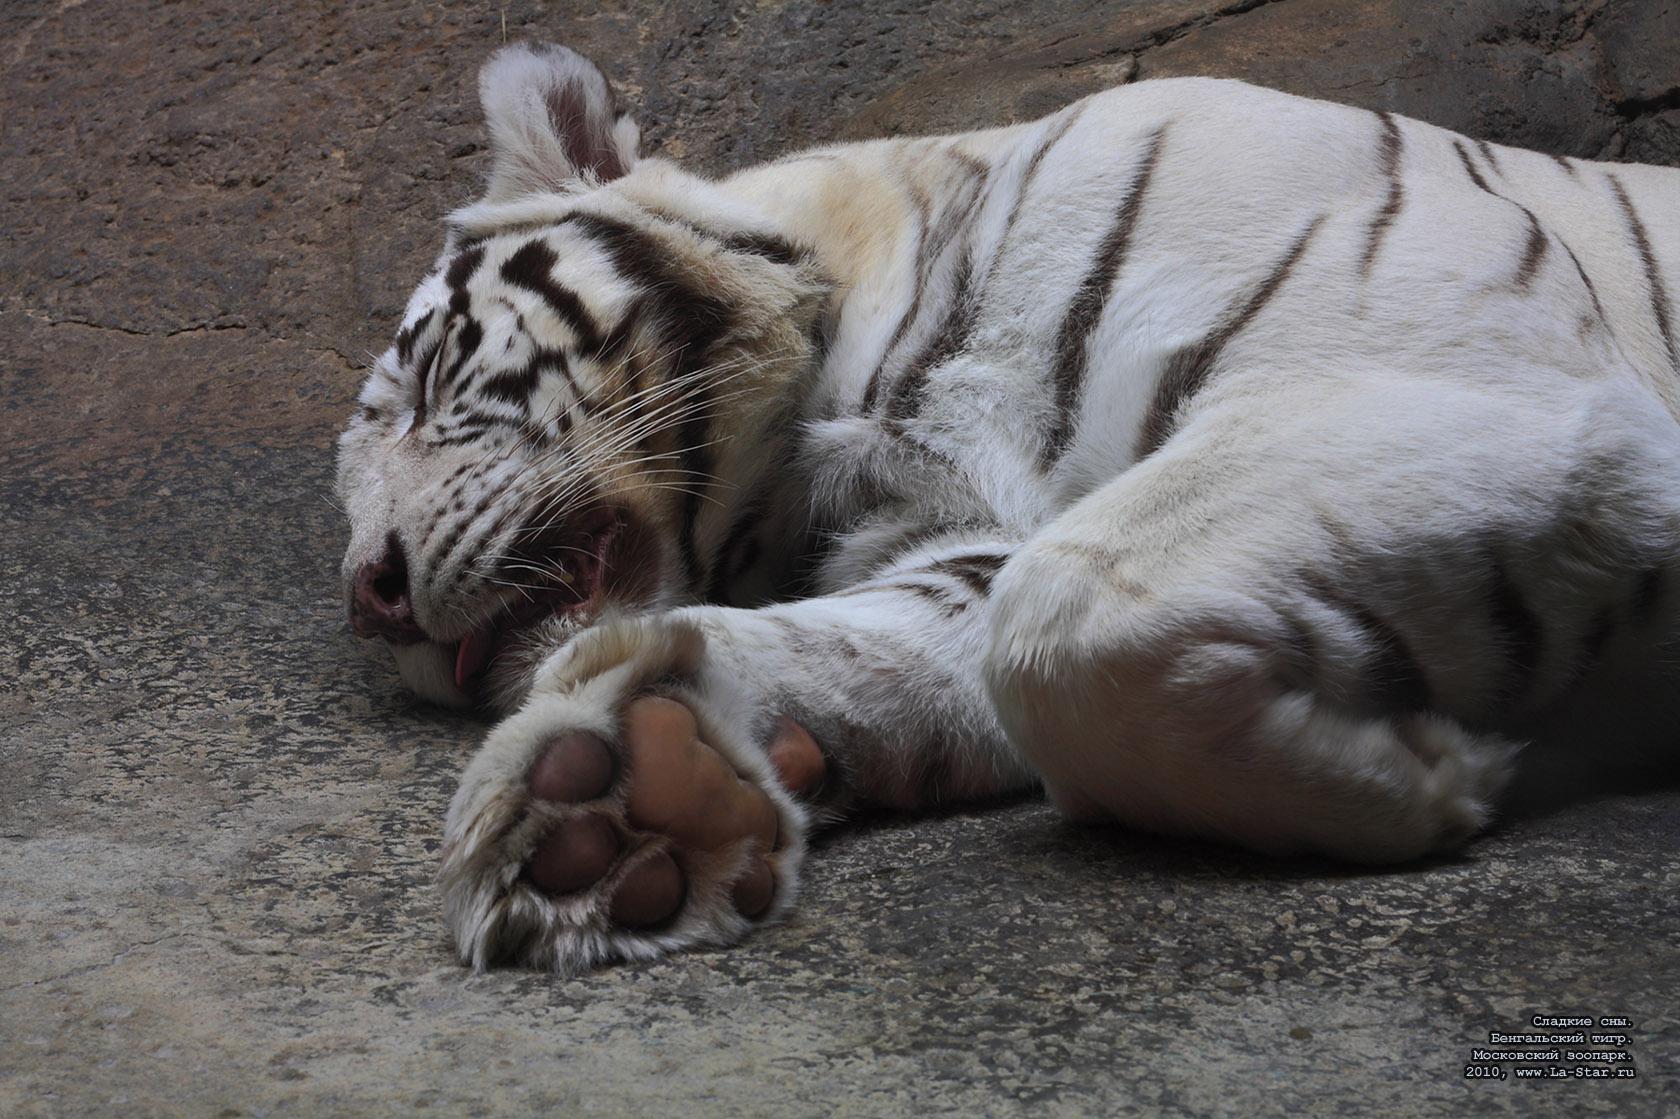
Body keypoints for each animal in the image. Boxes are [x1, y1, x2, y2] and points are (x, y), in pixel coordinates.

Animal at [334, 42, 1680, 972]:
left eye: (426, 383)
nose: (369, 596)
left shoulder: (1463, 372)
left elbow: (1068, 622)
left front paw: (1427, 777)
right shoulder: (955, 544)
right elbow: (896, 647)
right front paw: (624, 796)